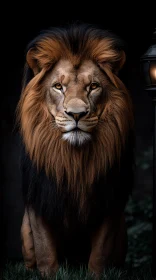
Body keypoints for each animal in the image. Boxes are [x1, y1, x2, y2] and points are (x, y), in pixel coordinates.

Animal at [16, 22, 135, 278]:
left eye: (93, 86)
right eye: (58, 87)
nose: (77, 114)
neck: (74, 159)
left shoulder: (108, 199)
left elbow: (100, 253)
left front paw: (96, 275)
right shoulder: (39, 198)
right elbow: (45, 252)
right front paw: (48, 275)